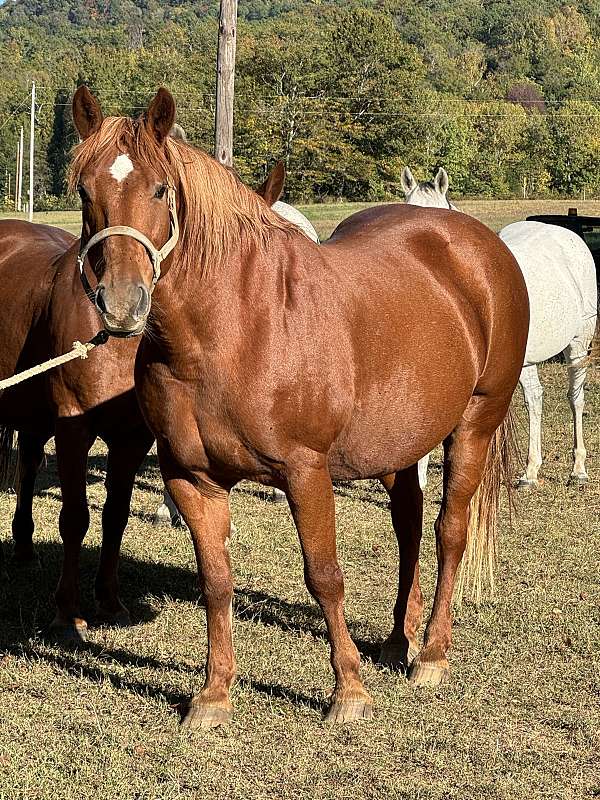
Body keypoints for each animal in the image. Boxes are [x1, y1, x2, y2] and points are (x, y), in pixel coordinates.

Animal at [69, 86, 528, 724]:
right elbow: (216, 581)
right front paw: (213, 695)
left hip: (475, 424)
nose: (120, 304)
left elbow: (324, 575)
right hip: (398, 444)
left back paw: (431, 655)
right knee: (409, 526)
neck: (232, 330)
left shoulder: (306, 472)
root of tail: (478, 245)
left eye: (160, 189)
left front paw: (348, 691)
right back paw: (397, 640)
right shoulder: (192, 478)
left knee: (449, 531)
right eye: (84, 191)